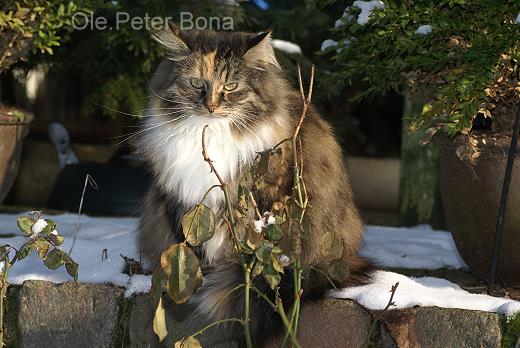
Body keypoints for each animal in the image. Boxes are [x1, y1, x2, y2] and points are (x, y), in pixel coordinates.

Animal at [137, 23, 374, 346]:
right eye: (196, 83)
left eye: (230, 86)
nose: (211, 107)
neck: (210, 134)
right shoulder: (185, 204)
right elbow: (196, 250)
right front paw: (201, 278)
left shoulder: (262, 202)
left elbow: (251, 254)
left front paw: (238, 281)